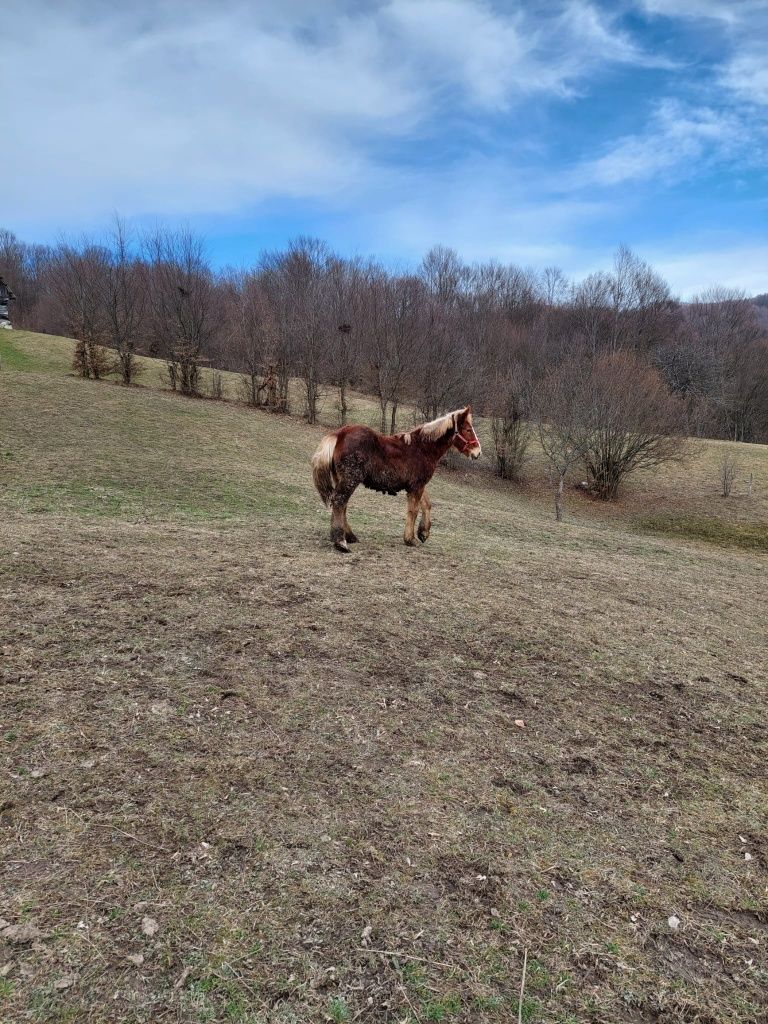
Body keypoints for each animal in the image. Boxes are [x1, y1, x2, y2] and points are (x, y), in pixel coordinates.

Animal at [313, 405, 481, 552]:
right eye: (468, 429)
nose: (477, 452)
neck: (423, 448)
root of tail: (340, 433)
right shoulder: (417, 486)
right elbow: (413, 510)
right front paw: (410, 539)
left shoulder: (416, 485)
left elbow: (426, 505)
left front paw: (423, 532)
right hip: (350, 479)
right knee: (339, 501)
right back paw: (340, 541)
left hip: (342, 479)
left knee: (343, 504)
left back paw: (349, 536)